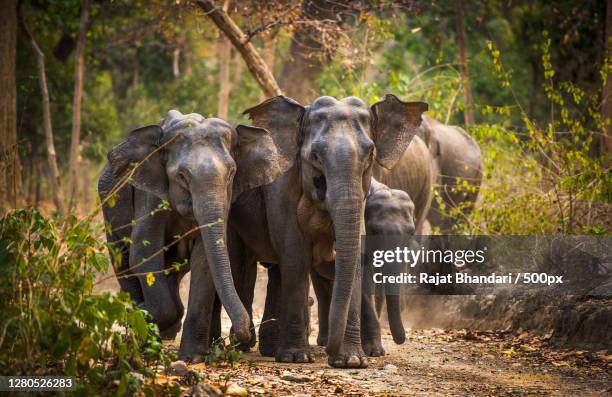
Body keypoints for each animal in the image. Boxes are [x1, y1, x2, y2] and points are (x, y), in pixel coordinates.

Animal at [99, 110, 290, 342]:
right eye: (181, 176)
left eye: (232, 173)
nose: (243, 334)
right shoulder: (150, 195)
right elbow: (144, 250)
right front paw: (144, 313)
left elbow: (203, 256)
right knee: (123, 259)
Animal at [182, 94, 428, 366]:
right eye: (316, 156)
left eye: (370, 154)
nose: (330, 351)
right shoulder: (283, 190)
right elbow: (296, 256)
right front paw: (296, 357)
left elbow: (355, 262)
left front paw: (352, 361)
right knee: (241, 269)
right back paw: (243, 346)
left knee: (275, 273)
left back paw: (270, 347)